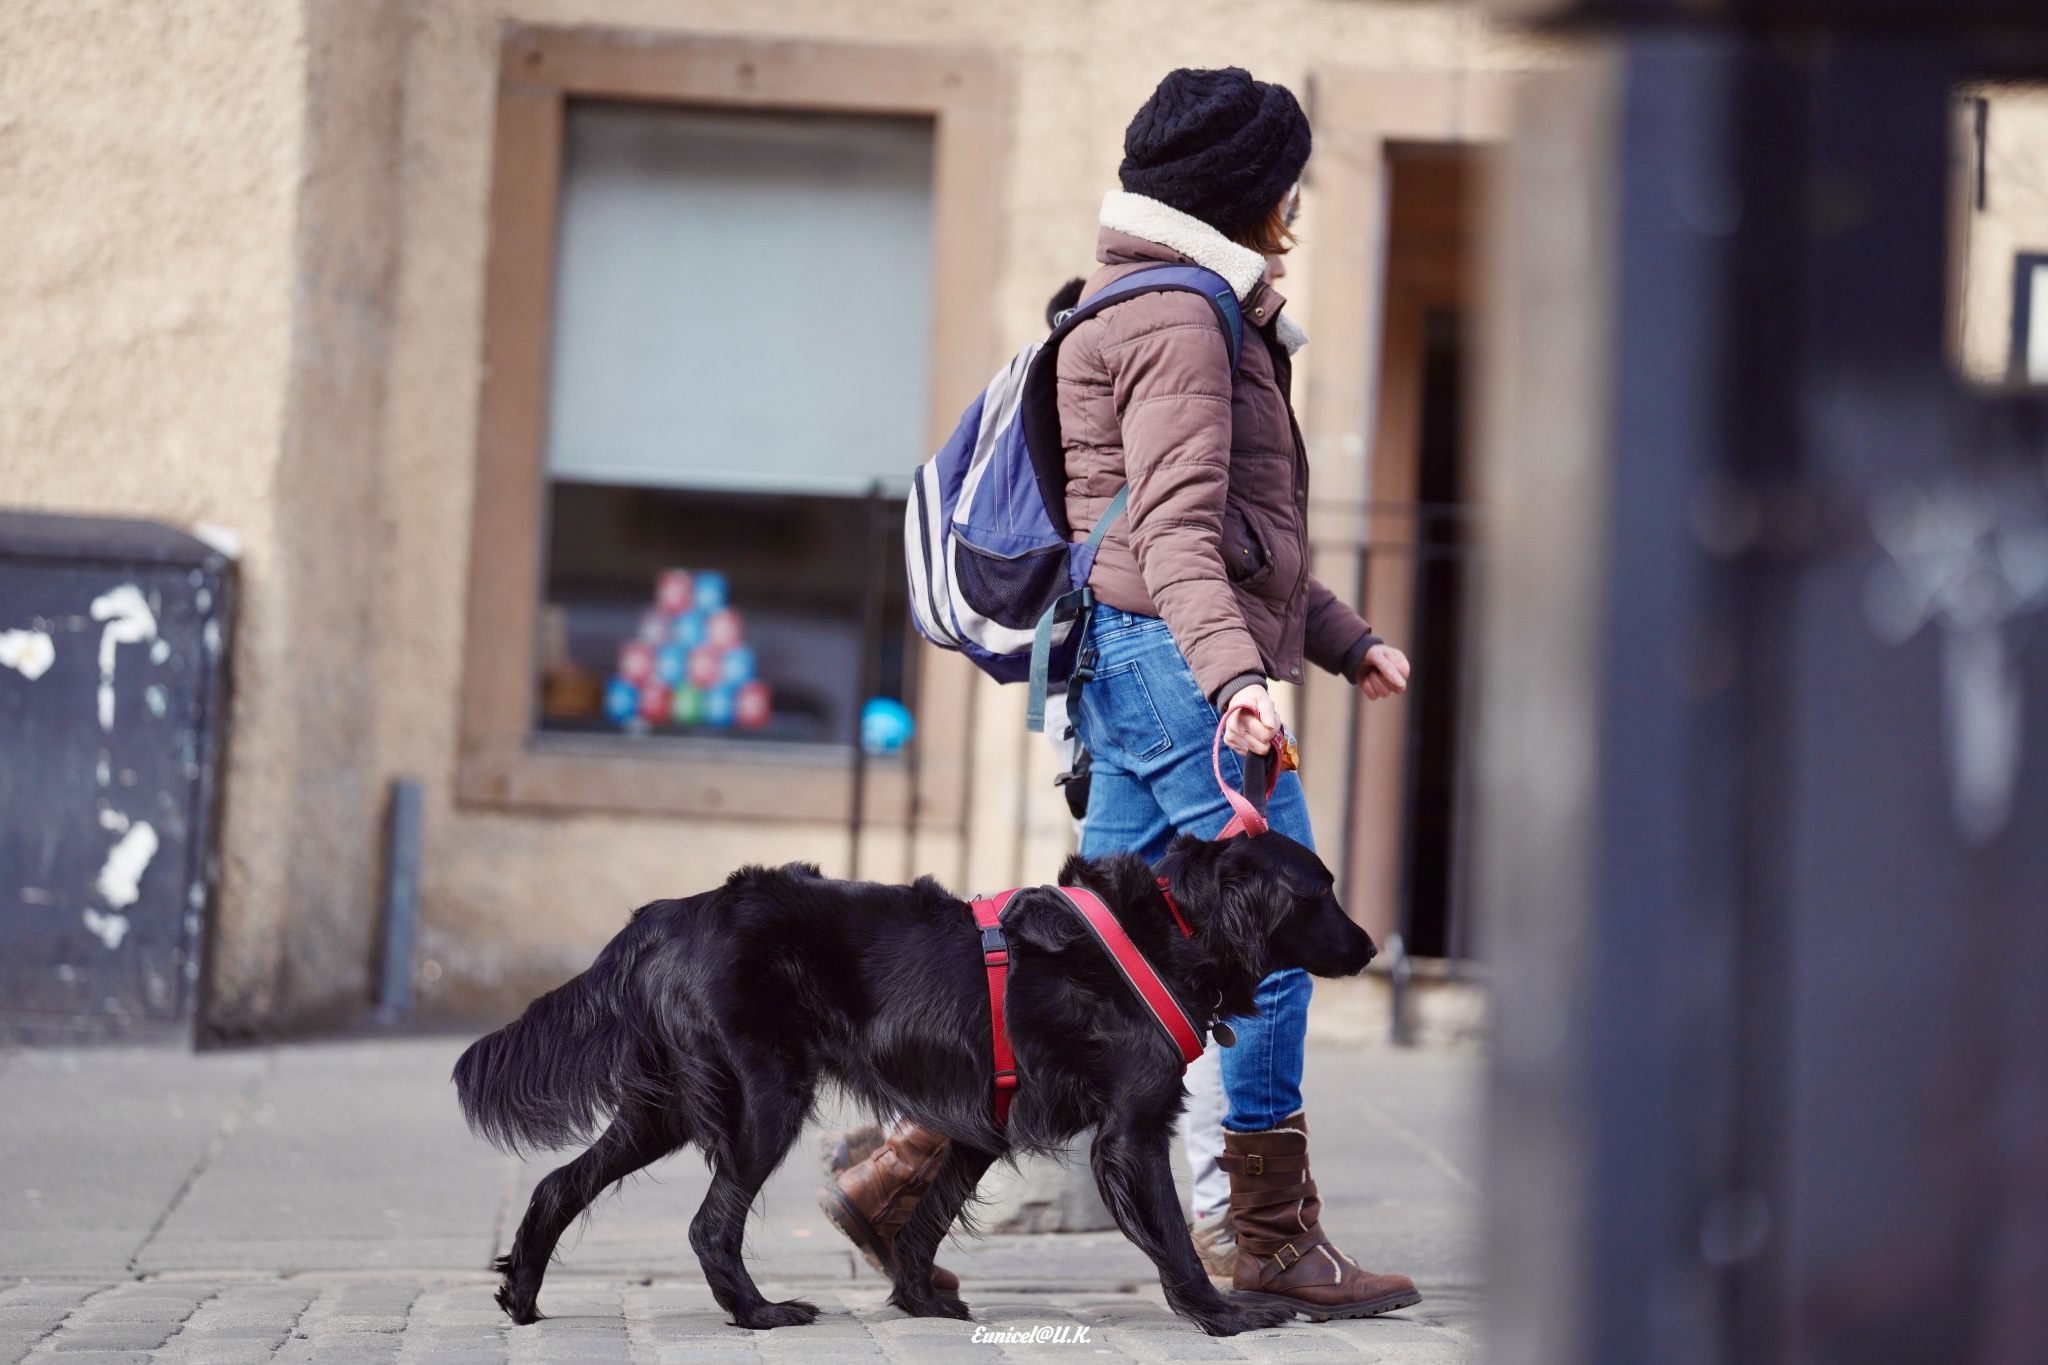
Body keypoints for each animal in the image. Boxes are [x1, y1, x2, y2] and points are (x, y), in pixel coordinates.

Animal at [450, 826, 1376, 1342]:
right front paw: (1224, 1316)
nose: (1371, 947)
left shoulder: (978, 1120)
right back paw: (758, 1313)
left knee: (559, 1183)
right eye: (1323, 891)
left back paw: (522, 1296)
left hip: (666, 1106)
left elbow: (927, 1216)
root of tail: (666, 914)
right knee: (710, 1224)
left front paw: (917, 1299)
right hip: (762, 1100)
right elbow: (1174, 1239)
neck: (1173, 925)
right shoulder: (1132, 1130)